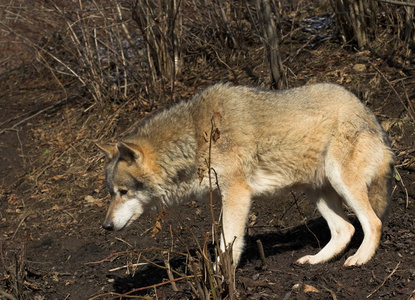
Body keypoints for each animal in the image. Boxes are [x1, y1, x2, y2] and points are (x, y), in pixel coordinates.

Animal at [96, 82, 394, 268]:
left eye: (124, 192)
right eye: (112, 194)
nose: (106, 226)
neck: (196, 136)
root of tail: (371, 116)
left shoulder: (237, 195)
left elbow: (227, 244)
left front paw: (220, 276)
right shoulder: (226, 197)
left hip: (340, 181)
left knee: (373, 223)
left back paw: (360, 259)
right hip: (317, 191)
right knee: (346, 229)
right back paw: (315, 260)